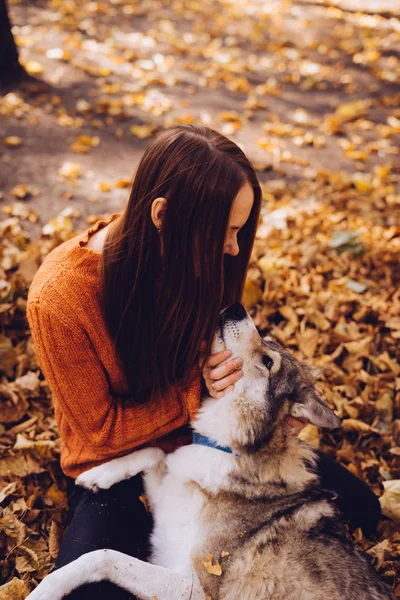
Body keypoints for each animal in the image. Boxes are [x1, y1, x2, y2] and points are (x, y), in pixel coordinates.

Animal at [27, 304, 394, 600]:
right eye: (268, 342)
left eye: (268, 361)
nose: (235, 307)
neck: (225, 447)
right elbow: (154, 451)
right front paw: (99, 474)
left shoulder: (192, 587)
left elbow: (102, 555)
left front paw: (46, 589)